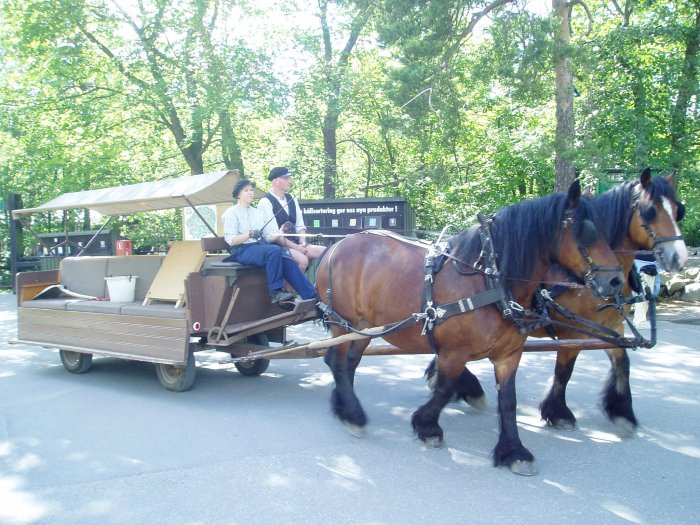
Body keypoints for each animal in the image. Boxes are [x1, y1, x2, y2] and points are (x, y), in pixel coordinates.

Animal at [314, 181, 620, 474]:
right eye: (586, 232)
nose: (616, 280)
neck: (491, 279)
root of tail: (336, 246)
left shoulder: (509, 355)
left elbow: (508, 400)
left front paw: (514, 452)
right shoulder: (453, 352)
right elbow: (445, 388)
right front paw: (428, 426)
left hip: (366, 327)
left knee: (348, 362)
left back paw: (343, 405)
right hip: (344, 323)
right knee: (337, 362)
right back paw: (353, 415)